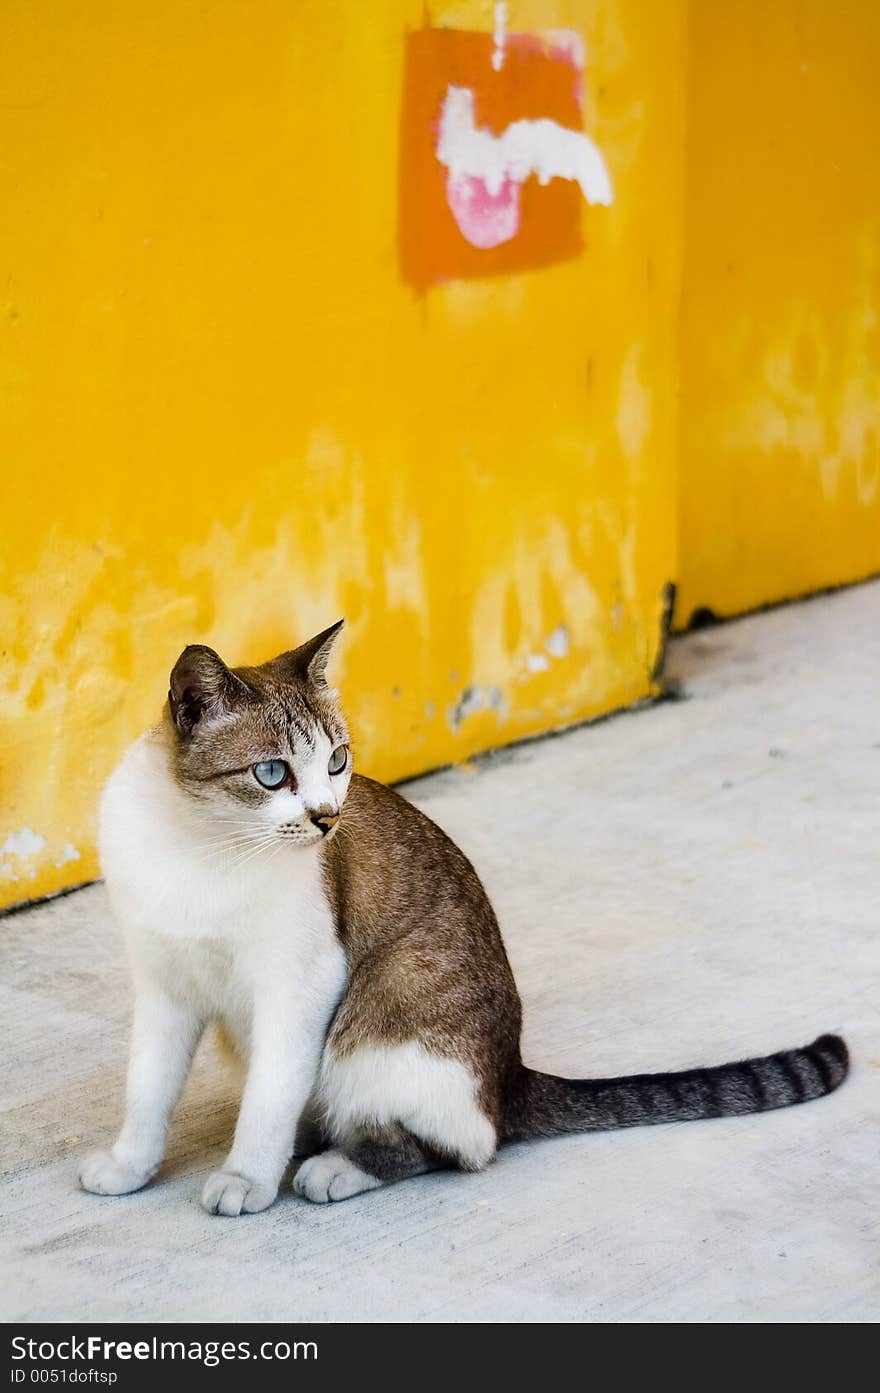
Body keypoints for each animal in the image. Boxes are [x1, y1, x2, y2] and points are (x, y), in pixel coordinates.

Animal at [79, 626, 846, 1214]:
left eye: (337, 760)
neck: (202, 845)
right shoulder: (164, 988)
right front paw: (129, 1166)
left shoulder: (301, 987)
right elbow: (148, 1090)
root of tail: (509, 1075)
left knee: (454, 1143)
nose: (327, 817)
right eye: (272, 773)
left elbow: (268, 1102)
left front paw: (246, 1177)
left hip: (379, 1024)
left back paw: (336, 1165)